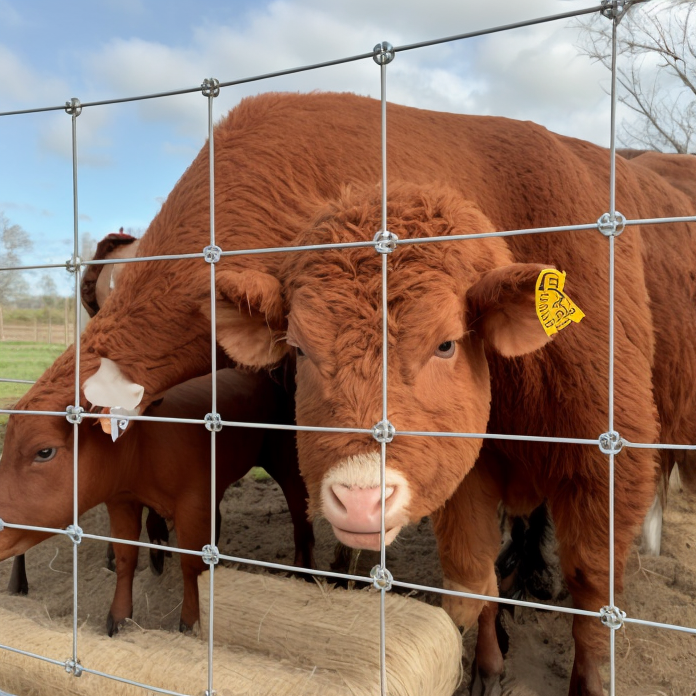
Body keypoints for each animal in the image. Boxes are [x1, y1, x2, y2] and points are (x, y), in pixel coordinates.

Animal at [1, 94, 696, 696]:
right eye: (301, 350)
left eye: (44, 452)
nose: (362, 497)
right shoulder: (468, 473)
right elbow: (475, 581)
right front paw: (487, 665)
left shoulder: (609, 459)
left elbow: (594, 593)